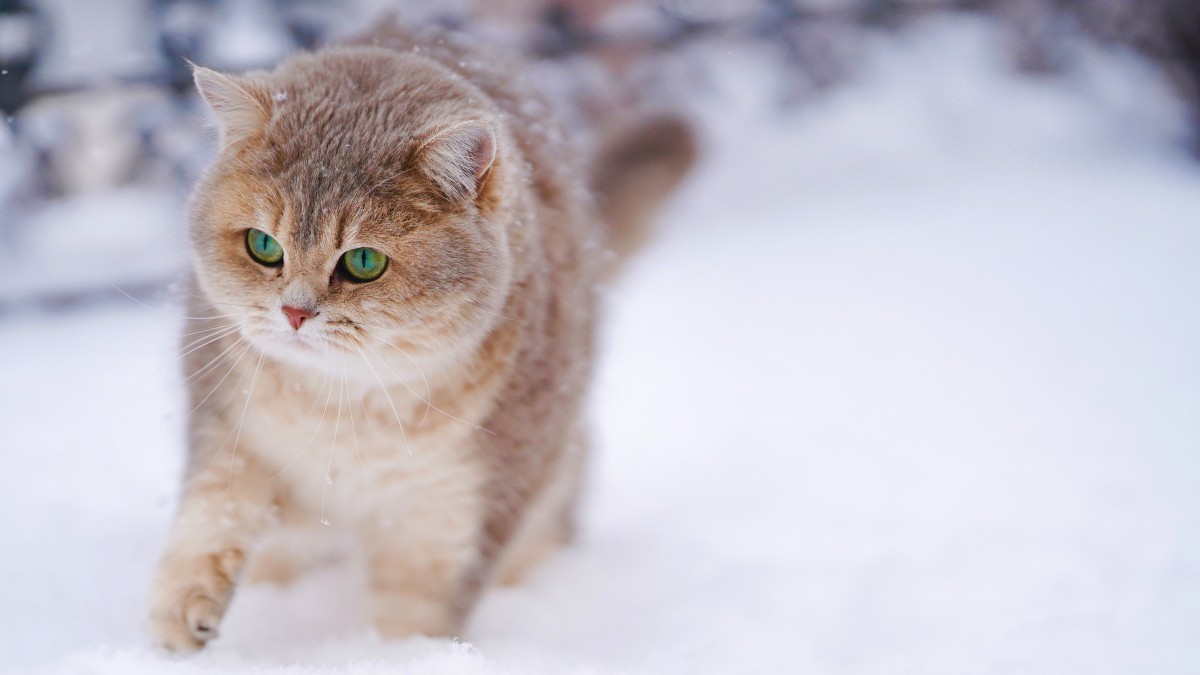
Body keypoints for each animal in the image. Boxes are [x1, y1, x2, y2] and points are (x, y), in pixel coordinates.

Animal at [146, 23, 696, 648]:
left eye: (363, 262)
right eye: (262, 246)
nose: (293, 313)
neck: (344, 406)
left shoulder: (454, 510)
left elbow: (415, 617)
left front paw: (395, 657)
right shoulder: (228, 426)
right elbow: (211, 514)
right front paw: (180, 611)